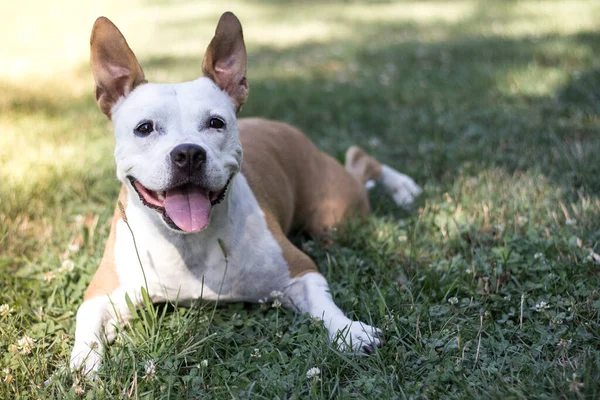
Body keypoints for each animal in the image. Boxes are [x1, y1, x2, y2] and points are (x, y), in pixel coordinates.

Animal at [70, 13, 422, 376]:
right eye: (144, 128)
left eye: (216, 123)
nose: (188, 153)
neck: (189, 242)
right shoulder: (101, 292)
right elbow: (87, 320)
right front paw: (87, 360)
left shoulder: (300, 271)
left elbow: (325, 304)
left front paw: (350, 331)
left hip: (335, 215)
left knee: (360, 161)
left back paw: (403, 188)